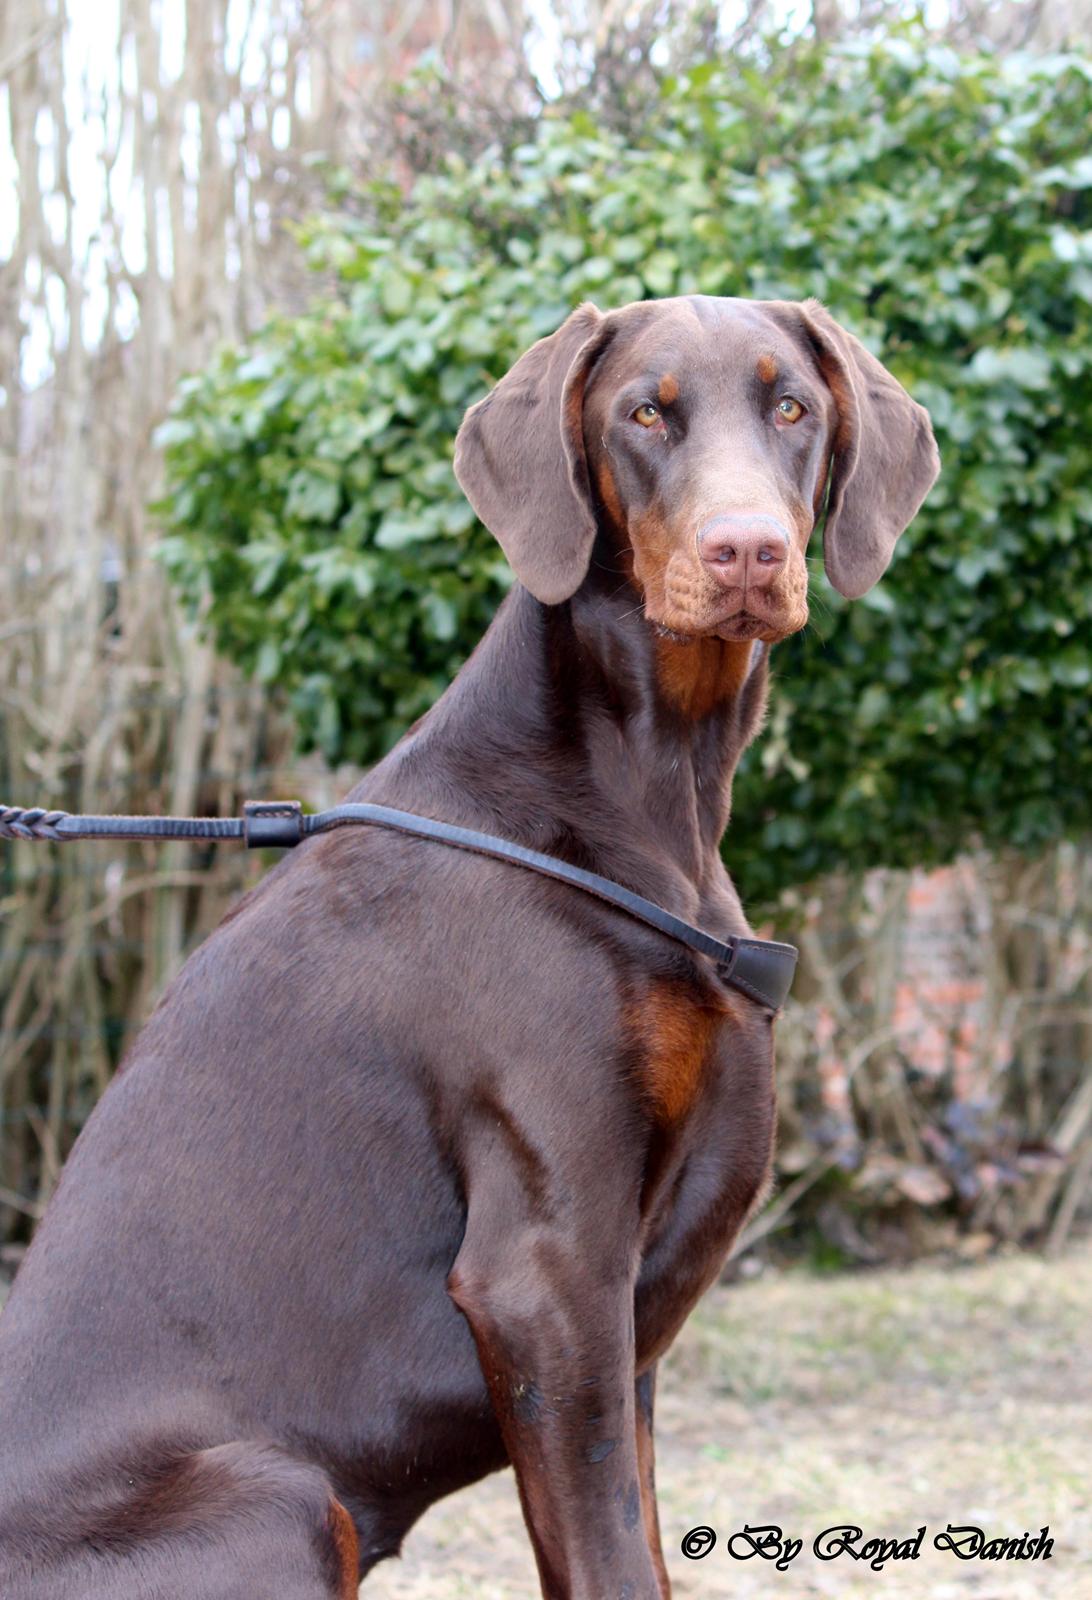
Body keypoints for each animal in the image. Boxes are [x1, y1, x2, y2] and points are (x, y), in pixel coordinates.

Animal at [0, 294, 935, 1593]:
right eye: (645, 412)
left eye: (792, 405)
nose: (746, 551)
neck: (649, 790)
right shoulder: (547, 1272)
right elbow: (610, 1558)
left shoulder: (623, 1331)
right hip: (278, 1494)